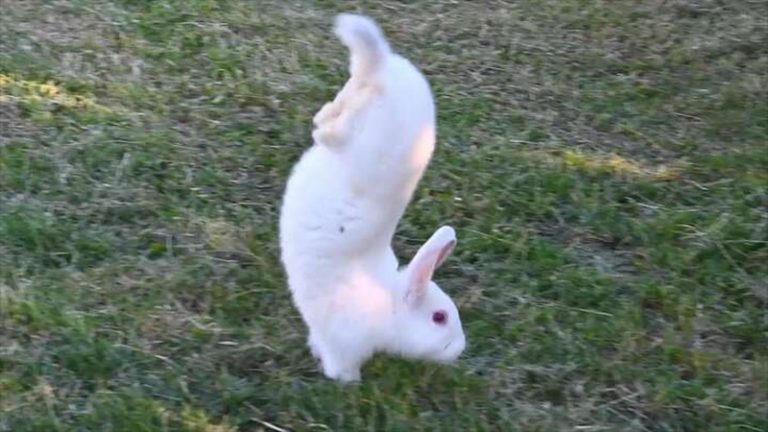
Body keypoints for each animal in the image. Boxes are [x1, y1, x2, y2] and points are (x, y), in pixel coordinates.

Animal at [279, 13, 466, 382]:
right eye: (439, 317)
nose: (459, 348)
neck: (387, 301)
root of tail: (383, 63)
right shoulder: (343, 343)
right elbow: (341, 365)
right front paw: (347, 382)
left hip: (363, 98)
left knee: (347, 98)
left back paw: (323, 122)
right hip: (368, 137)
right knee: (345, 124)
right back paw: (327, 131)